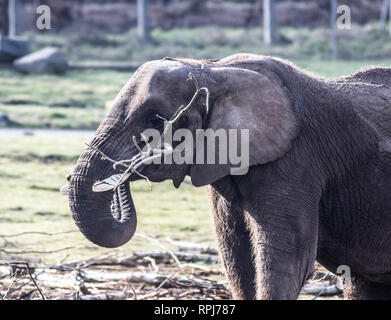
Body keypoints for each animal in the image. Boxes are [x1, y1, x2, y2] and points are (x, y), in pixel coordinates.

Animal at [64, 53, 391, 300]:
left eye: (155, 121)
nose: (126, 171)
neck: (213, 71)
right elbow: (237, 257)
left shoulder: (297, 160)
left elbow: (287, 261)